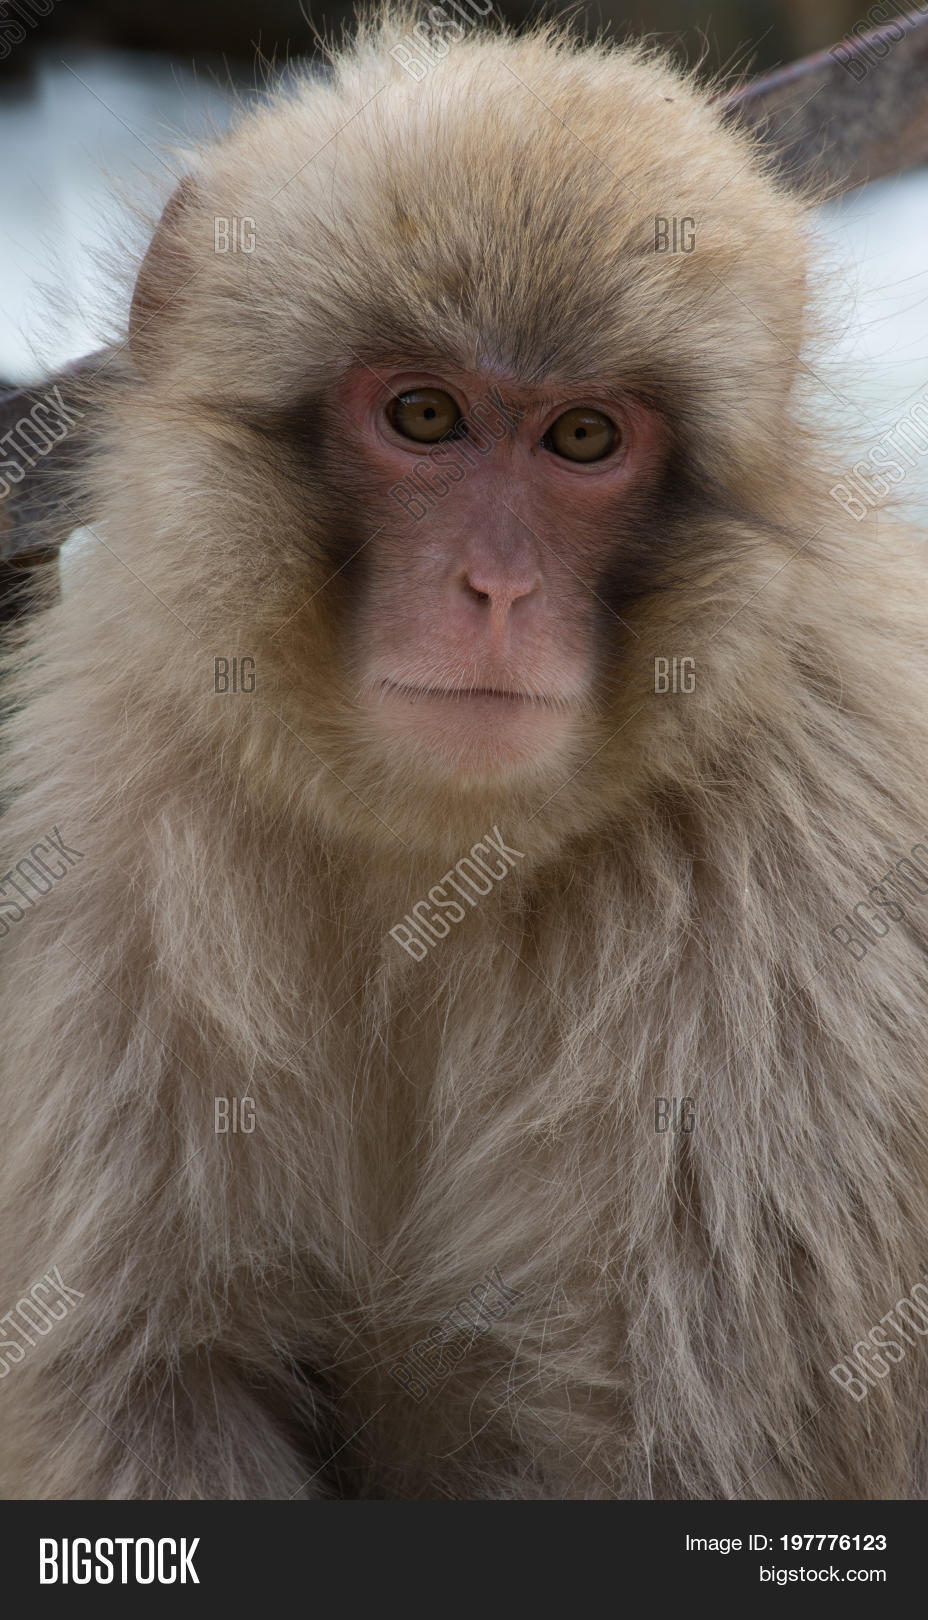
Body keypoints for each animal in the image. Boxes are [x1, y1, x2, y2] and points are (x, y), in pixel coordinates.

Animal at [2, 6, 928, 1501]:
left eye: (583, 438)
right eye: (425, 417)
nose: (495, 588)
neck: (440, 848)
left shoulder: (806, 921)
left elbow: (673, 1446)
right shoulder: (108, 840)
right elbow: (144, 1378)